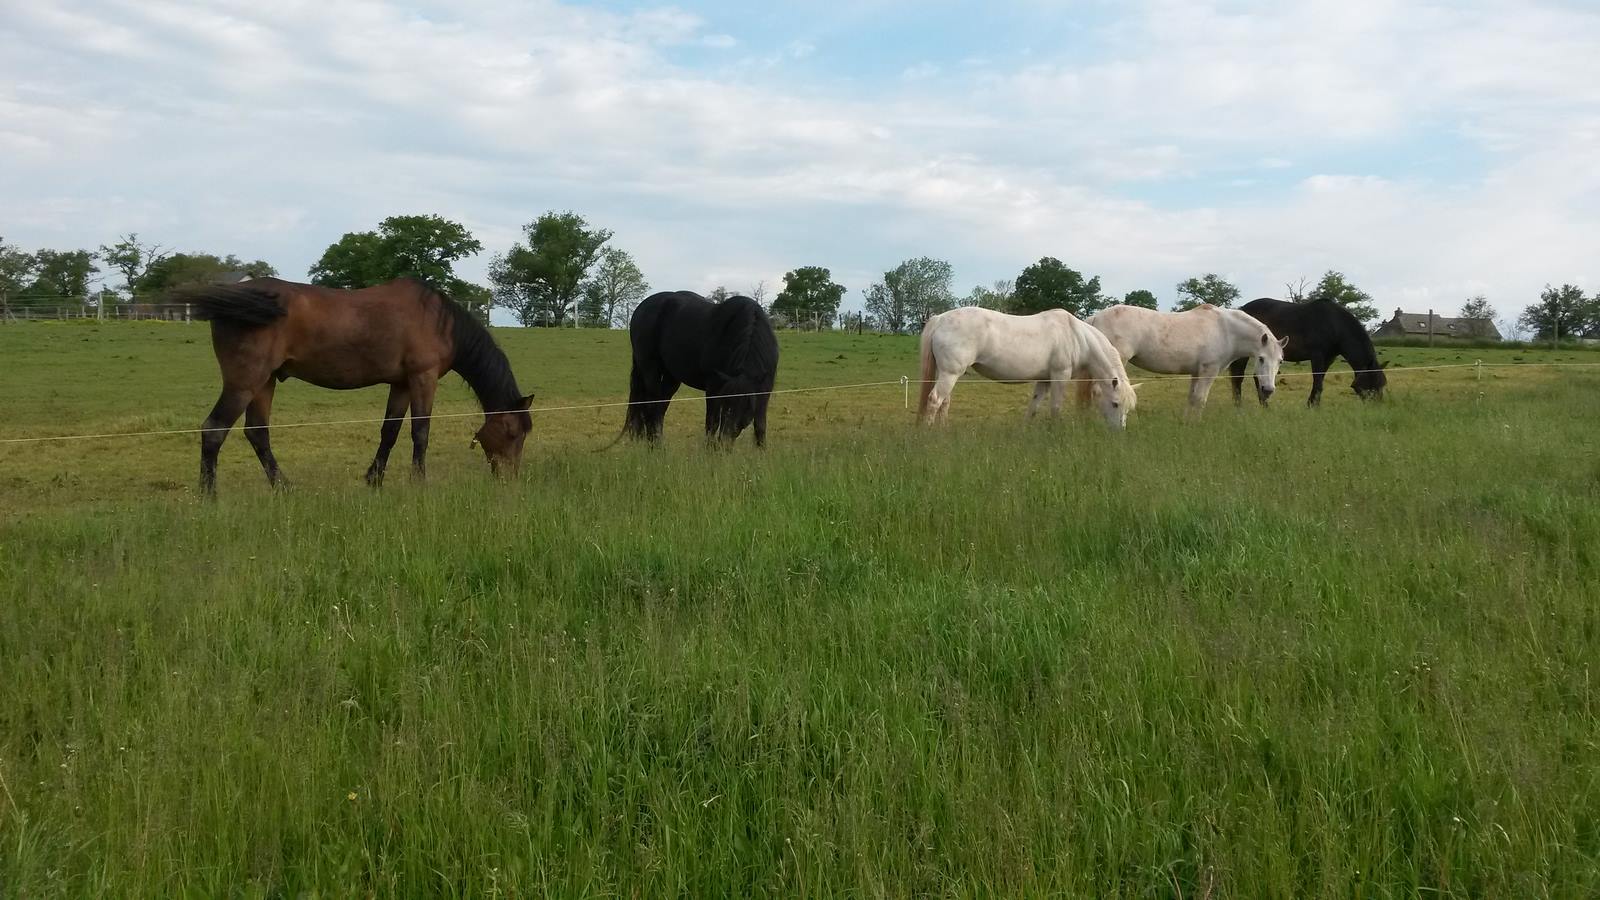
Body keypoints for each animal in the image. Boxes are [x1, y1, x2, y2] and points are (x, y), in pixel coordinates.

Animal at [179, 277, 534, 493]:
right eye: (512, 433)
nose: (510, 479)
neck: (439, 321)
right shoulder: (423, 377)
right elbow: (420, 431)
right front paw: (419, 481)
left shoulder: (401, 384)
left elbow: (390, 431)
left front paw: (374, 479)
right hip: (245, 382)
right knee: (214, 430)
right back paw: (209, 497)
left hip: (265, 382)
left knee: (257, 433)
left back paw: (285, 487)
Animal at [614, 288, 777, 441]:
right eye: (727, 403)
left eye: (746, 406)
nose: (725, 441)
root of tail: (641, 308)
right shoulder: (713, 387)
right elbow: (712, 423)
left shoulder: (763, 389)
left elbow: (760, 425)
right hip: (649, 369)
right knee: (651, 407)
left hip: (670, 377)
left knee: (659, 408)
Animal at [915, 305, 1139, 429]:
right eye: (1115, 404)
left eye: (1128, 407)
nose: (1119, 432)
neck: (1077, 336)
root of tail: (940, 319)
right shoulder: (1060, 376)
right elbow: (1055, 407)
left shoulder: (1044, 380)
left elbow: (1033, 407)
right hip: (950, 373)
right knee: (934, 400)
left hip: (948, 374)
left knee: (944, 403)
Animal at [1081, 301, 1292, 413]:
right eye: (1261, 358)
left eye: (1280, 361)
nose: (1268, 389)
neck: (1226, 330)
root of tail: (1094, 318)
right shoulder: (1209, 371)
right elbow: (1200, 399)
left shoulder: (1196, 372)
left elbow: (1192, 398)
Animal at [1228, 296, 1382, 405]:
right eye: (1372, 386)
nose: (1377, 407)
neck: (1334, 324)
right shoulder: (1317, 356)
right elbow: (1317, 382)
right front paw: (1313, 406)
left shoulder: (1328, 359)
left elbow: (1319, 382)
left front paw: (1312, 405)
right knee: (1238, 377)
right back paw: (1239, 405)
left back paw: (1264, 405)